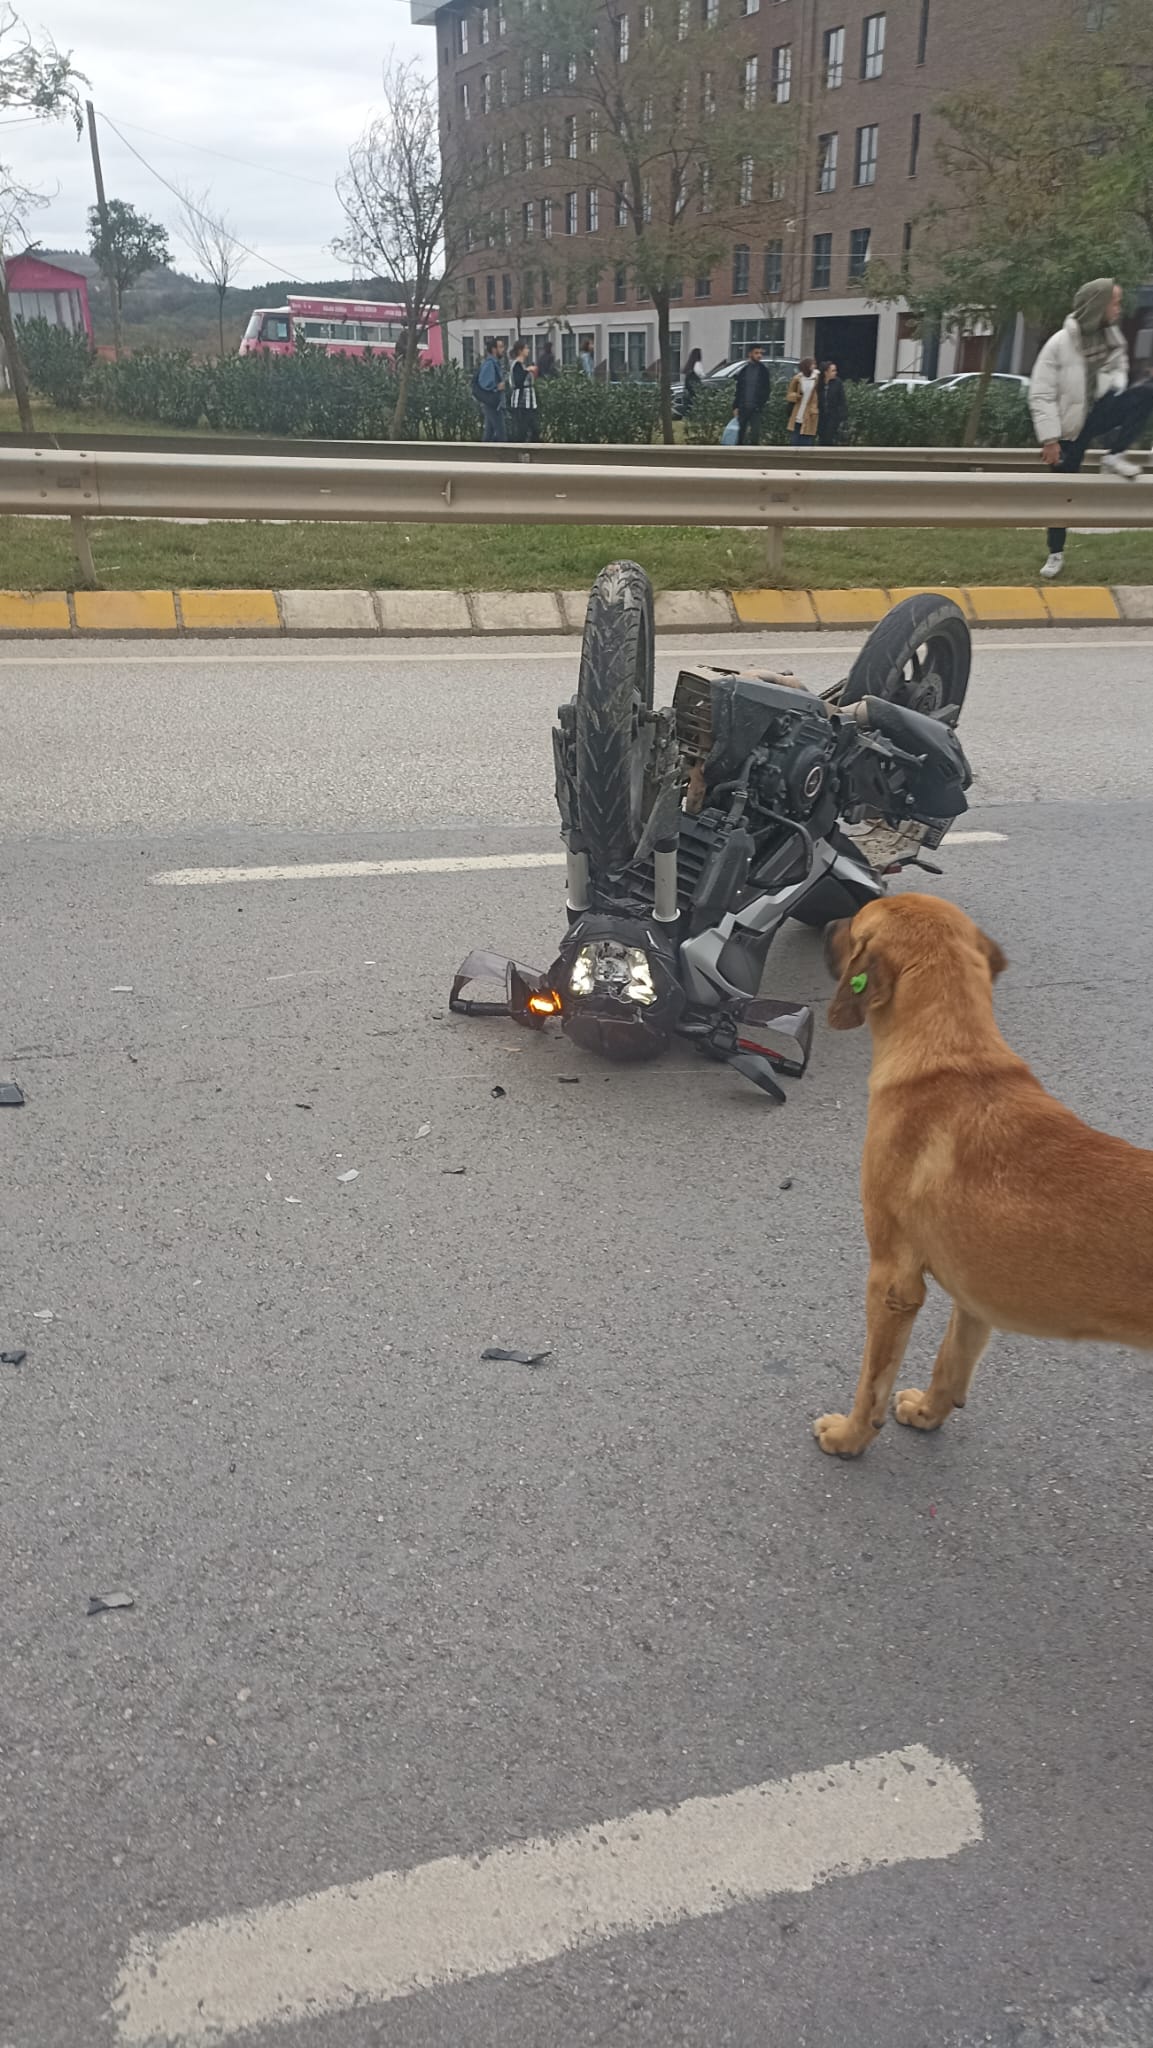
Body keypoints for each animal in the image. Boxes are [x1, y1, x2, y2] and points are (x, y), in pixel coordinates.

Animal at [810, 897, 1153, 1458]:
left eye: (856, 923)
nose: (829, 921)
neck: (954, 1051)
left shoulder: (891, 1280)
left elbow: (871, 1383)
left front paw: (850, 1437)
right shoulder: (973, 1293)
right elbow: (951, 1360)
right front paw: (928, 1413)